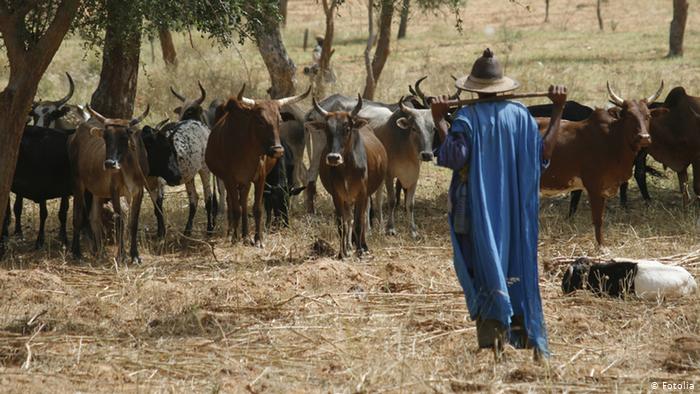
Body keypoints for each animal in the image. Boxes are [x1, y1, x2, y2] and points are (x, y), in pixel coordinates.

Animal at [69, 106, 151, 264]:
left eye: (124, 137)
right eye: (106, 137)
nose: (109, 163)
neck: (129, 165)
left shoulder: (139, 191)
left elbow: (133, 222)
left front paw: (135, 255)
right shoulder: (115, 190)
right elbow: (120, 221)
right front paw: (122, 255)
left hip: (97, 191)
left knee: (94, 218)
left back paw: (99, 251)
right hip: (78, 182)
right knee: (78, 216)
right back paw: (76, 252)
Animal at [205, 85, 308, 246]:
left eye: (279, 120)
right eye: (260, 120)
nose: (277, 150)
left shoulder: (260, 178)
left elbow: (257, 208)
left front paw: (258, 239)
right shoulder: (229, 179)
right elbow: (235, 208)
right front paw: (235, 238)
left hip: (246, 182)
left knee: (243, 202)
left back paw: (246, 235)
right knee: (232, 203)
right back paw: (231, 233)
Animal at [310, 95, 388, 258]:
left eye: (347, 128)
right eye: (327, 129)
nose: (333, 158)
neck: (347, 169)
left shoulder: (362, 194)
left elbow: (359, 222)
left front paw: (360, 251)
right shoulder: (337, 195)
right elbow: (342, 224)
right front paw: (342, 252)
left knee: (362, 218)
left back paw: (362, 245)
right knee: (349, 219)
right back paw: (349, 245)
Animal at [540, 81, 664, 245]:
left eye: (648, 115)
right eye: (628, 115)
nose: (644, 137)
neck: (611, 139)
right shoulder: (593, 185)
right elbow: (597, 220)